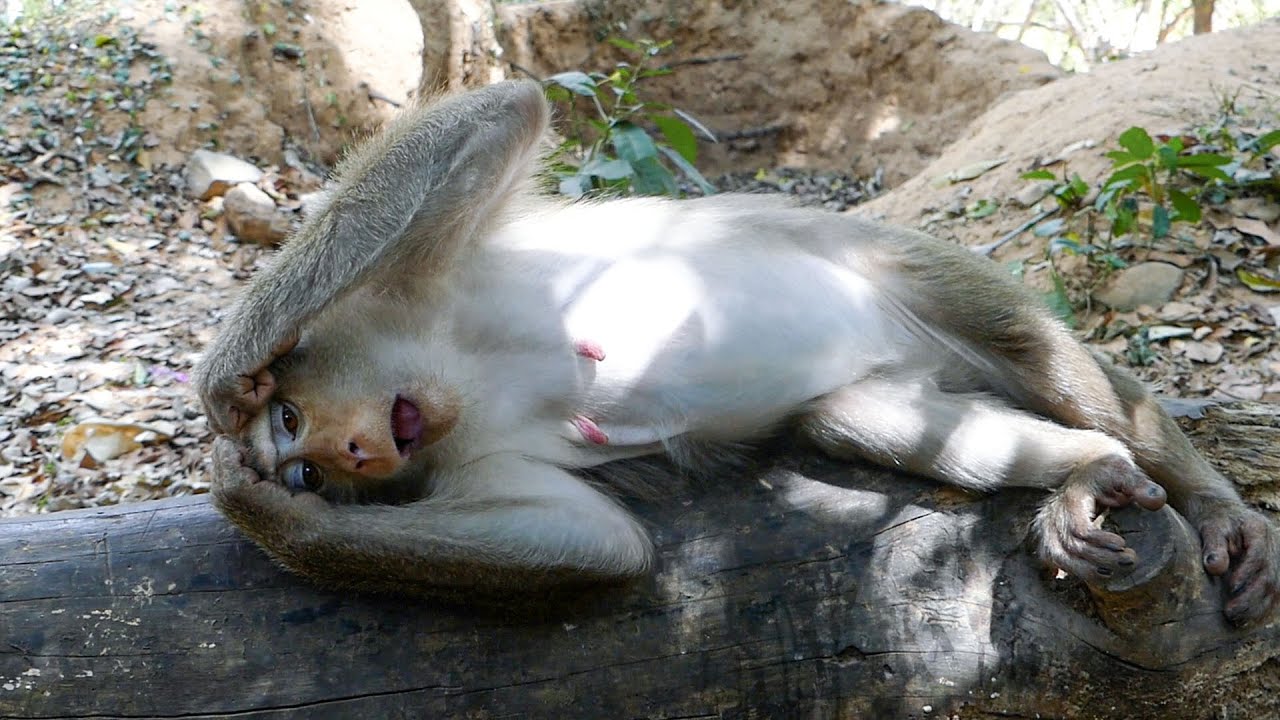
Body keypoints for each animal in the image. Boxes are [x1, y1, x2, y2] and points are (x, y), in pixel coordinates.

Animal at [196, 80, 1279, 625]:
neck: (445, 369)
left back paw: (1189, 490)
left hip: (906, 264)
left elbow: (500, 114)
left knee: (1022, 341)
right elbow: (595, 545)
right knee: (860, 418)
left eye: (293, 421)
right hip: (888, 376)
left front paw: (225, 376)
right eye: (309, 467)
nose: (343, 455)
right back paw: (1088, 472)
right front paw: (271, 515)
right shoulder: (466, 453)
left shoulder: (410, 285)